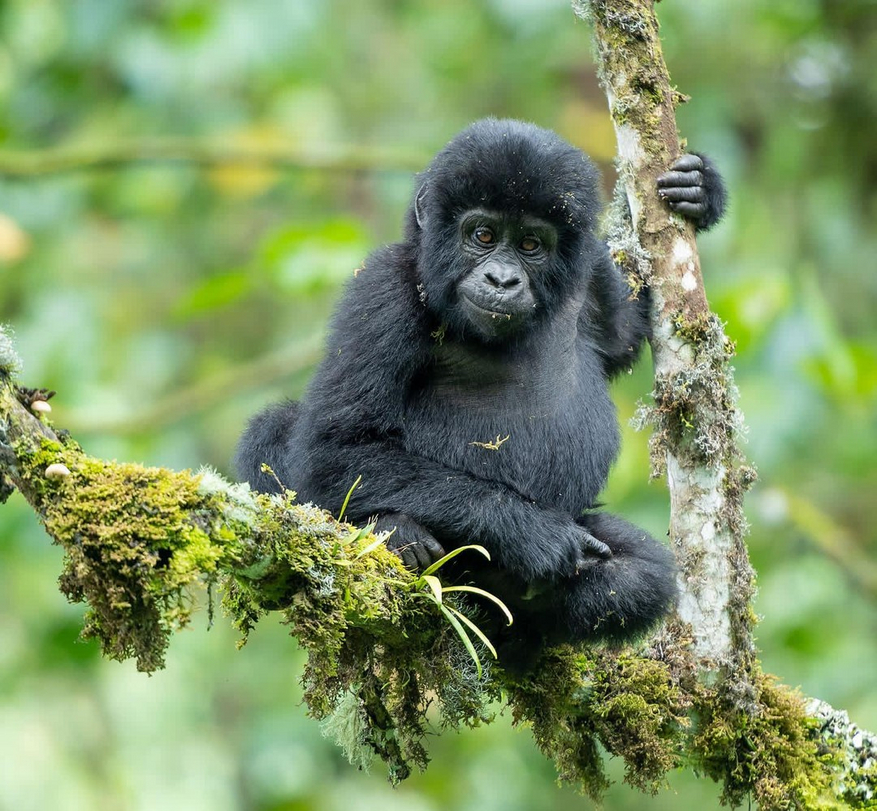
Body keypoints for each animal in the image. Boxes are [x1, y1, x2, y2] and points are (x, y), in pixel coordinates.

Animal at [234, 119, 724, 652]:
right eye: (483, 235)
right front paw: (529, 531)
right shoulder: (382, 288)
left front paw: (700, 189)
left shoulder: (591, 269)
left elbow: (626, 329)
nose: (502, 279)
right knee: (273, 432)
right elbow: (334, 448)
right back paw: (397, 534)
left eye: (530, 245)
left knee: (643, 574)